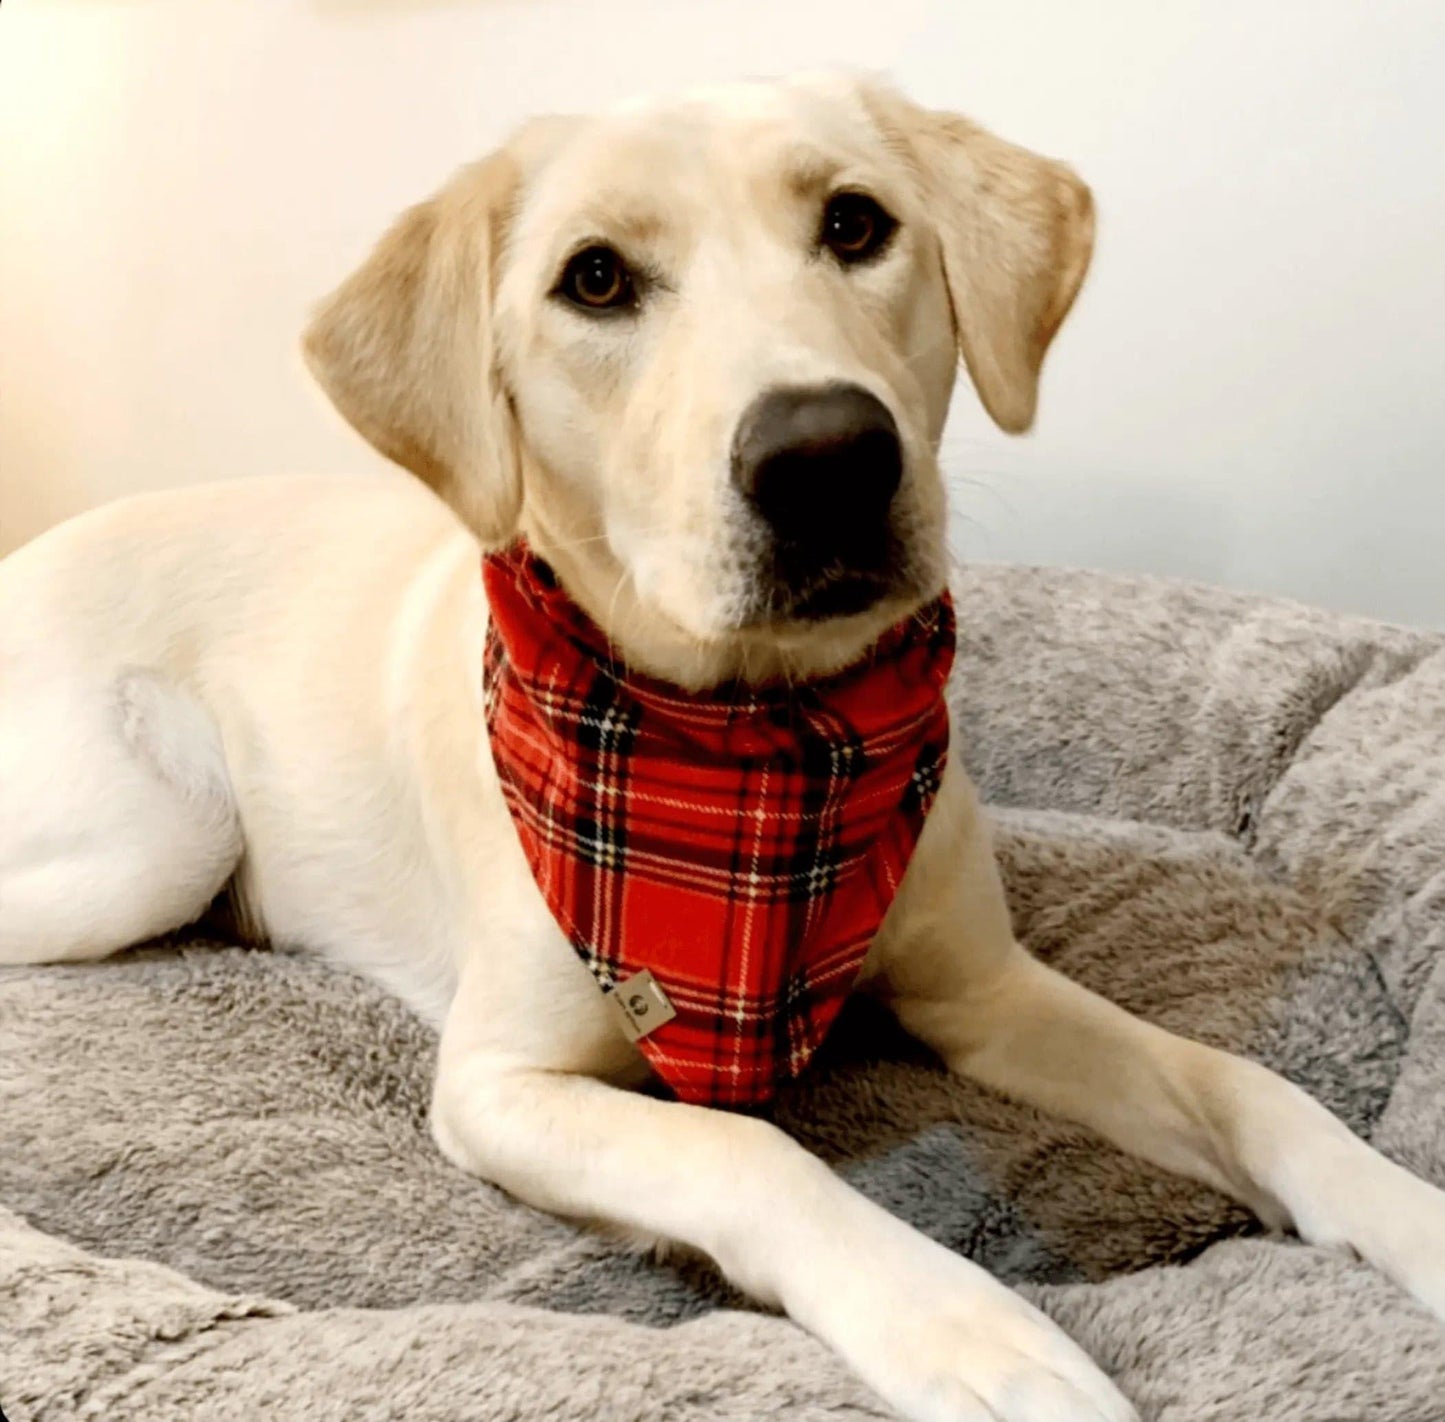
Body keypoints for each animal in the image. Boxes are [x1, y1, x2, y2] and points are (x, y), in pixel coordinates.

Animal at [2, 75, 1445, 1422]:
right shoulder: (497, 1085)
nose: (827, 458)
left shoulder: (986, 991)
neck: (758, 747)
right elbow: (744, 1154)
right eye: (593, 277)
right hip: (168, 827)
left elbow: (1237, 1082)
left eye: (855, 223)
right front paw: (969, 1331)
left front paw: (1406, 1215)